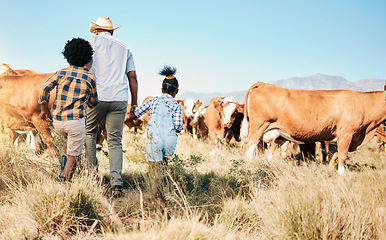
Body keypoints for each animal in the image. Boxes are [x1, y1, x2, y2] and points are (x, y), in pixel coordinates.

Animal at [241, 82, 386, 174]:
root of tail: (264, 84)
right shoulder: (346, 135)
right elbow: (342, 156)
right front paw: (341, 175)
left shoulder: (336, 139)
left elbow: (333, 155)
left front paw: (329, 170)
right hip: (258, 127)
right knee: (249, 147)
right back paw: (248, 166)